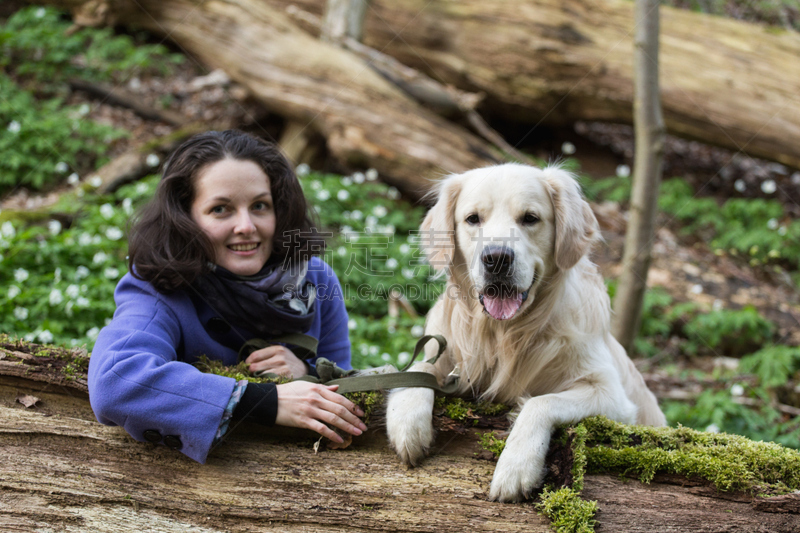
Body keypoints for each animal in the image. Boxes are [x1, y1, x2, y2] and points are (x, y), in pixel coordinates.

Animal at [384, 164, 664, 500]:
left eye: (530, 218)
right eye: (473, 218)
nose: (497, 258)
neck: (504, 334)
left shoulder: (613, 396)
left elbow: (540, 402)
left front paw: (516, 466)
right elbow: (420, 368)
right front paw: (407, 422)